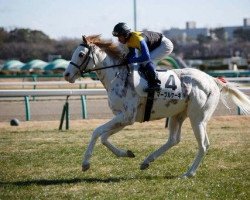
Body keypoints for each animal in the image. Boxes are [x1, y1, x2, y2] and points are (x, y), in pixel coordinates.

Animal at [63, 35, 250, 177]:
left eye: (81, 54)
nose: (66, 75)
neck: (117, 76)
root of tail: (212, 79)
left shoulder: (126, 116)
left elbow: (96, 132)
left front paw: (85, 163)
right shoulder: (124, 118)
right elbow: (103, 137)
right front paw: (127, 153)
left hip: (198, 118)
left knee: (203, 145)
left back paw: (188, 173)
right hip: (178, 115)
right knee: (174, 140)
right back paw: (147, 161)